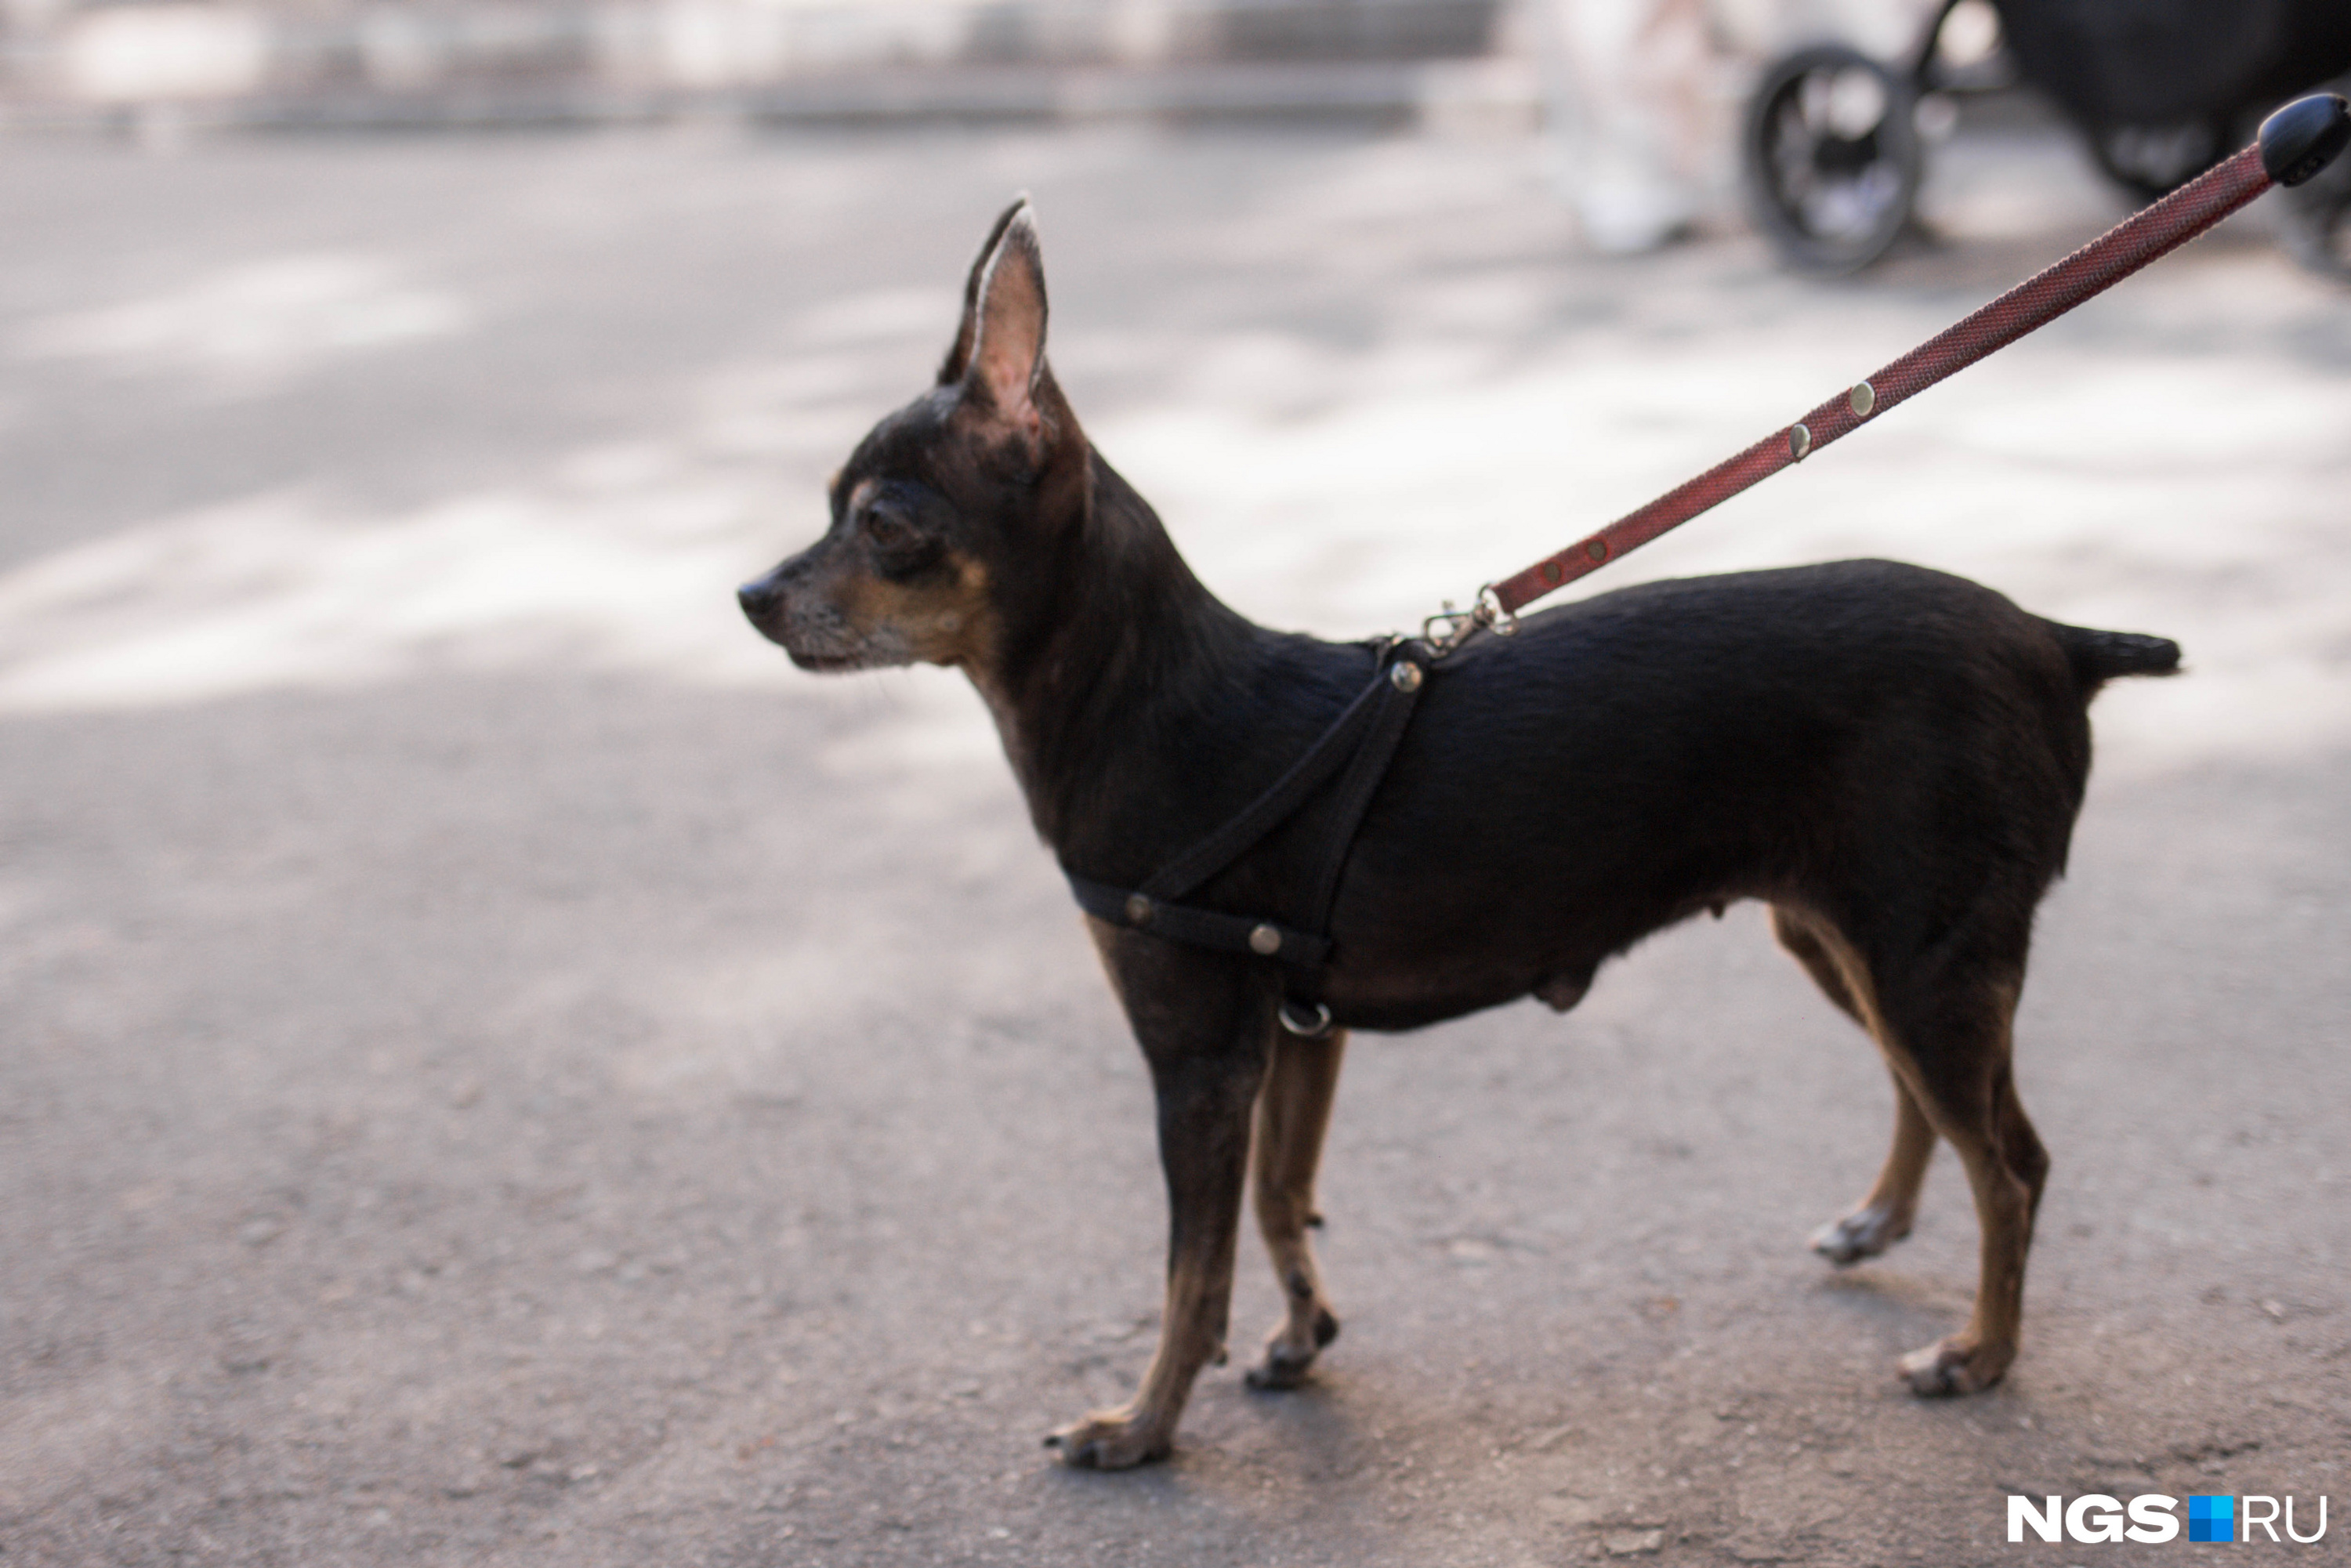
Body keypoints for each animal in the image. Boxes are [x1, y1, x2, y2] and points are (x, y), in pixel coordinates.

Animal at [738, 200, 2182, 1476]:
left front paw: (1143, 1426)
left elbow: (1190, 1269)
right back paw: (1882, 1222)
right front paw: (1301, 1336)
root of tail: (2057, 640)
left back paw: (1981, 1354)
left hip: (1921, 959)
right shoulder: (1294, 1036)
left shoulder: (1197, 1058)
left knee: (2014, 1159)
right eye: (827, 505)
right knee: (1933, 1108)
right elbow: (1281, 1201)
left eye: (884, 525)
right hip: (1847, 943)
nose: (751, 596)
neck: (1144, 700)